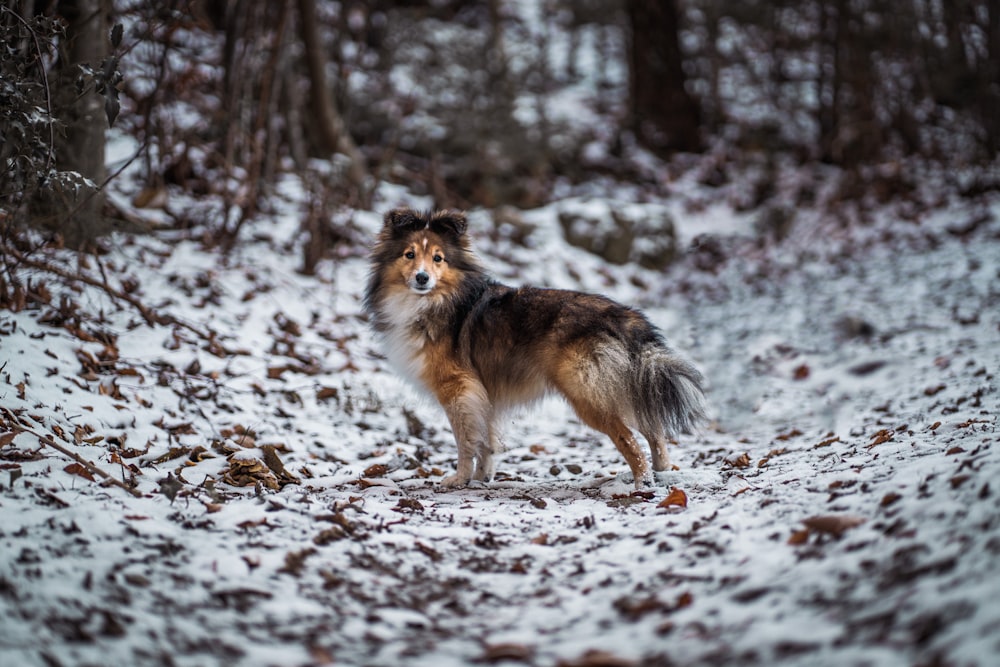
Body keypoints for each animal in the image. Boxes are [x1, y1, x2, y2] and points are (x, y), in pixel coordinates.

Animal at [364, 209, 708, 490]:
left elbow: (466, 440)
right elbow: (486, 440)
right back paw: (663, 472)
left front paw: (459, 478)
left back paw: (642, 482)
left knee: (630, 438)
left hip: (587, 393)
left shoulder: (458, 390)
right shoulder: (482, 393)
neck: (435, 301)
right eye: (409, 254)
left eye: (438, 258)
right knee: (654, 428)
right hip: (621, 384)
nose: (422, 278)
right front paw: (481, 478)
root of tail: (623, 316)